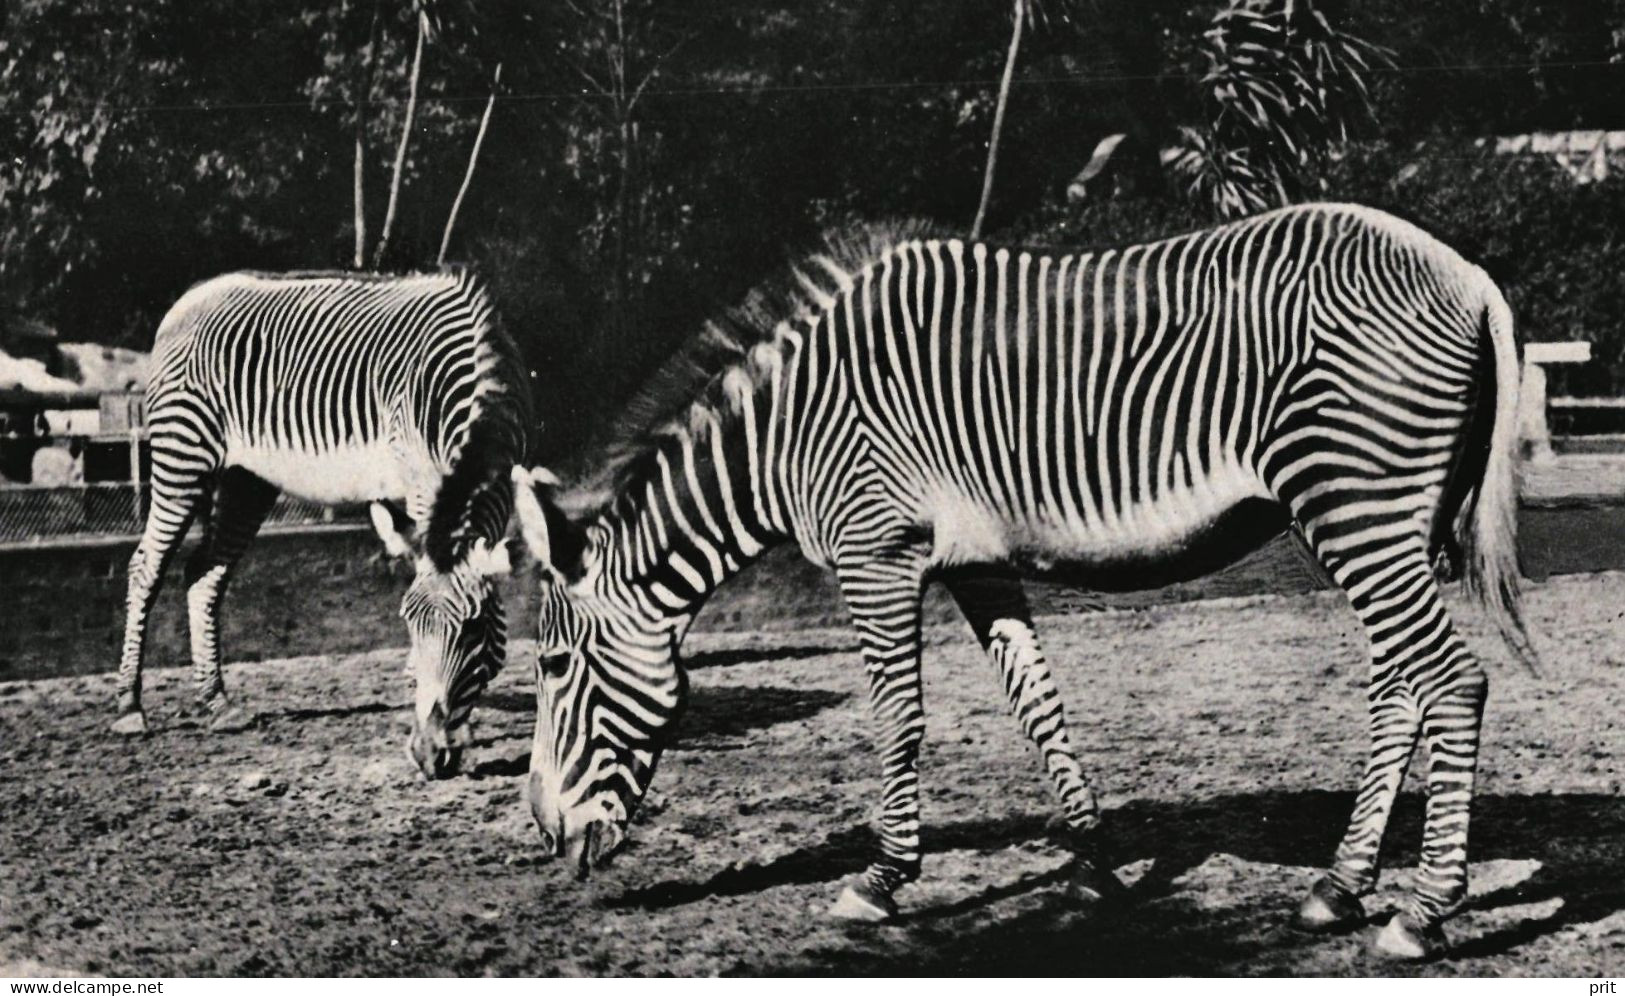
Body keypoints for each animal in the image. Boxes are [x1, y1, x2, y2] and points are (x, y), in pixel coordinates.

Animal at [114, 268, 533, 779]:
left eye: (474, 629)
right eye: (408, 622)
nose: (427, 755)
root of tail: (191, 296)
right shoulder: (418, 474)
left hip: (246, 479)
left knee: (204, 574)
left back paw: (218, 704)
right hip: (183, 453)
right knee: (146, 569)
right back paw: (130, 708)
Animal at [510, 205, 1534, 961]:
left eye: (552, 666)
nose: (546, 839)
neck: (785, 431)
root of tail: (1464, 271)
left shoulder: (875, 551)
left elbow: (898, 718)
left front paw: (879, 881)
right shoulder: (979, 563)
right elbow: (1035, 701)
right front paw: (1093, 863)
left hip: (1356, 502)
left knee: (1452, 682)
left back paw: (1419, 913)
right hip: (1362, 519)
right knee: (1398, 688)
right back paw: (1336, 889)